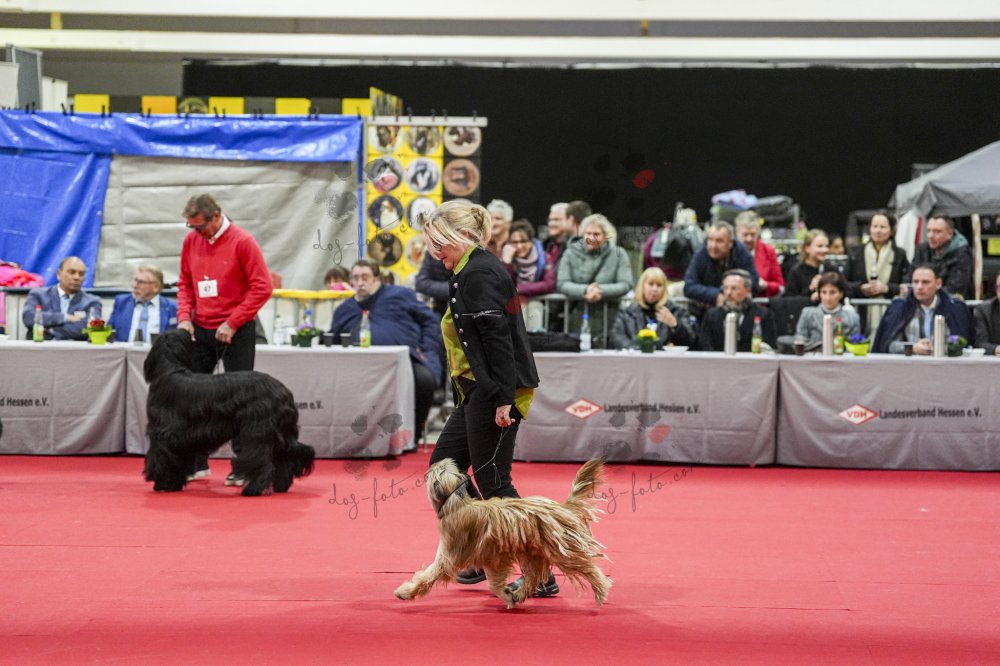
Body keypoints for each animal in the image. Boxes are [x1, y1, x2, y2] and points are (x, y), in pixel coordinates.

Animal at [142, 328, 315, 496]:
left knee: (263, 464)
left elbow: (162, 459)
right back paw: (281, 486)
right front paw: (173, 484)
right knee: (284, 459)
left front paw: (163, 484)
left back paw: (253, 490)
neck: (169, 369)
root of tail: (283, 391)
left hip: (256, 432)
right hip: (279, 434)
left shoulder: (163, 434)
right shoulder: (182, 440)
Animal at [394, 458, 612, 608]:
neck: (456, 502)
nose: (432, 465)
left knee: (587, 567)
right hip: (534, 552)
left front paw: (406, 592)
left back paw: (601, 589)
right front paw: (506, 594)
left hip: (561, 551)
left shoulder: (451, 554)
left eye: (435, 471)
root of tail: (562, 508)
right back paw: (520, 593)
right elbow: (495, 582)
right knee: (533, 576)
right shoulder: (494, 557)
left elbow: (428, 576)